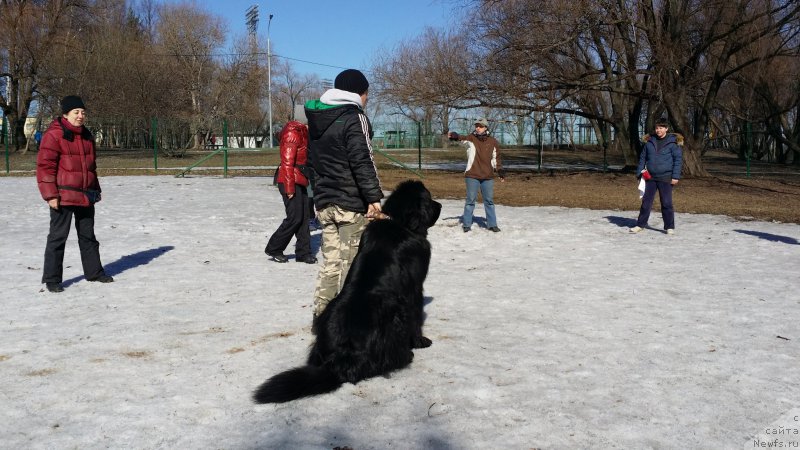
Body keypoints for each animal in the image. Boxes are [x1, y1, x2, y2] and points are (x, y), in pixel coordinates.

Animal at [253, 179, 440, 404]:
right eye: (429, 199)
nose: (440, 206)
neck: (400, 223)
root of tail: (337, 361)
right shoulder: (414, 288)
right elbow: (416, 317)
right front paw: (421, 341)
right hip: (394, 318)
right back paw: (406, 355)